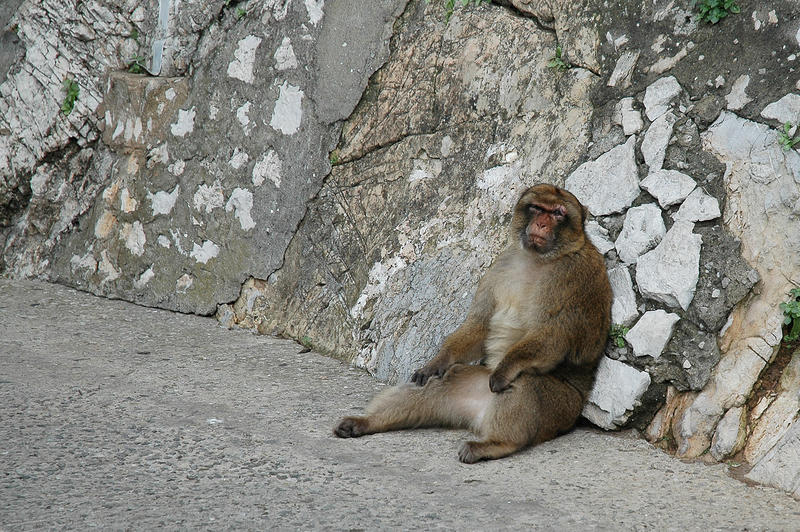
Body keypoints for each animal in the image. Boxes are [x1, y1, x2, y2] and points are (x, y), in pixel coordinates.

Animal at [332, 183, 612, 462]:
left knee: (524, 381)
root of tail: (480, 415)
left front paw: (504, 370)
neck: (538, 259)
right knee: (438, 382)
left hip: (561, 408)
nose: (541, 224)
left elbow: (551, 336)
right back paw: (367, 422)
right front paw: (437, 361)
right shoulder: (501, 264)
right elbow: (480, 325)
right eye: (537, 208)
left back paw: (497, 443)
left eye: (557, 213)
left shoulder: (572, 275)